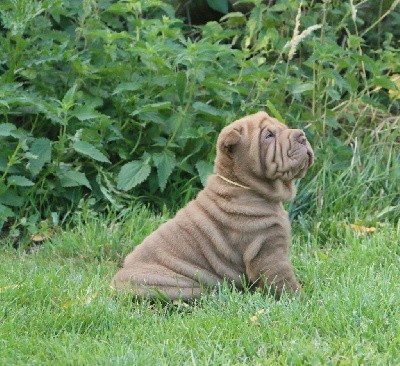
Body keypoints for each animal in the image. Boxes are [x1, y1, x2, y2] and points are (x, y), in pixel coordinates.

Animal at [111, 111, 314, 300]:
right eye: (268, 135)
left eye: (284, 127)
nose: (301, 136)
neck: (242, 185)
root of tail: (114, 286)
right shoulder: (268, 250)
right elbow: (284, 282)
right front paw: (299, 300)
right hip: (169, 283)